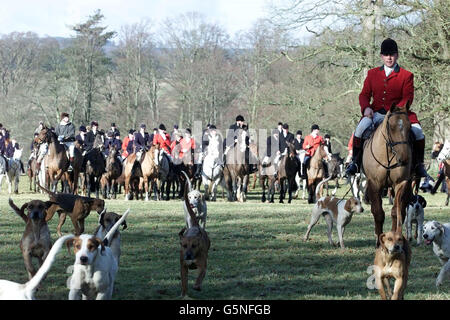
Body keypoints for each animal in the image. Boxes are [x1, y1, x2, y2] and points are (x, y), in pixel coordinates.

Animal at [360, 104, 414, 246]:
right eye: (391, 127)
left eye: (409, 127)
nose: (404, 159)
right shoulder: (374, 184)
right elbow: (378, 212)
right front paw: (379, 241)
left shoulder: (401, 183)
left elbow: (396, 212)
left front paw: (396, 237)